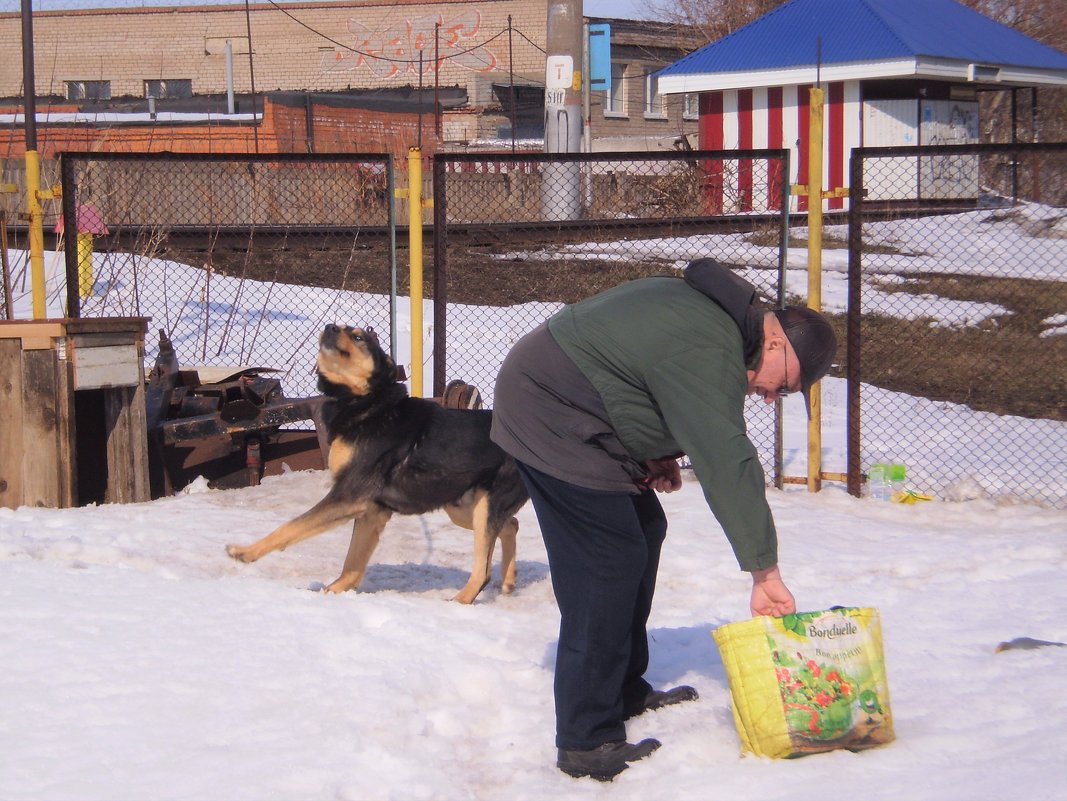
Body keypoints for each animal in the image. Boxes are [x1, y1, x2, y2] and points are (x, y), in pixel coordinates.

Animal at [224, 322, 524, 605]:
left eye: (358, 337)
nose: (330, 326)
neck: (364, 400)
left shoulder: (349, 495)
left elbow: (292, 526)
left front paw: (245, 552)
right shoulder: (372, 510)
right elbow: (353, 563)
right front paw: (334, 592)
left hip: (482, 508)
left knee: (483, 569)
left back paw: (460, 601)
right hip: (462, 507)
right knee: (512, 524)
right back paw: (508, 580)